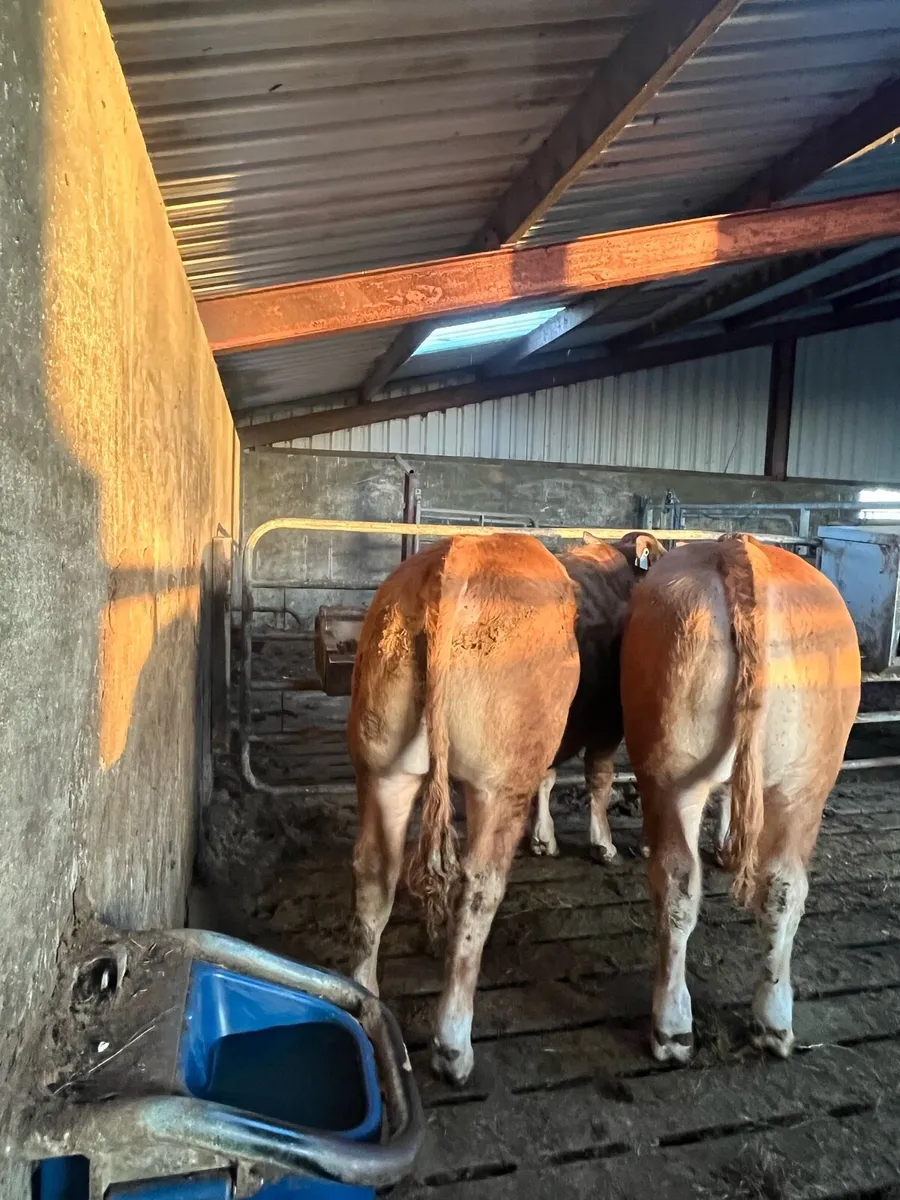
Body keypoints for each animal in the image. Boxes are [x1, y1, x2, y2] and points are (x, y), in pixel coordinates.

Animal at [347, 532, 580, 1083]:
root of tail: (455, 563)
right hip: (499, 782)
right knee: (479, 886)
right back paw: (453, 1045)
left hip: (382, 765)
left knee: (376, 873)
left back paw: (365, 997)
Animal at [621, 534, 860, 1063]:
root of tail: (739, 550)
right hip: (795, 782)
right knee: (761, 887)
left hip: (705, 775)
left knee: (710, 886)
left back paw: (695, 1026)